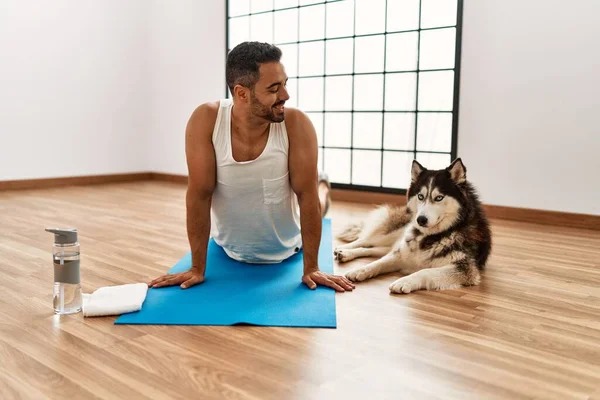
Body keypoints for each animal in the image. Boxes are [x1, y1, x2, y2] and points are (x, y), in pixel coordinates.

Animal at [336, 159, 490, 294]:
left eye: (439, 197)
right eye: (420, 196)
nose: (420, 220)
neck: (433, 235)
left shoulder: (465, 269)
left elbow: (424, 271)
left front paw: (404, 281)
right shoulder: (402, 254)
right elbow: (379, 263)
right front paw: (361, 270)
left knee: (375, 249)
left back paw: (345, 254)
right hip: (395, 232)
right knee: (366, 241)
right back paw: (342, 249)